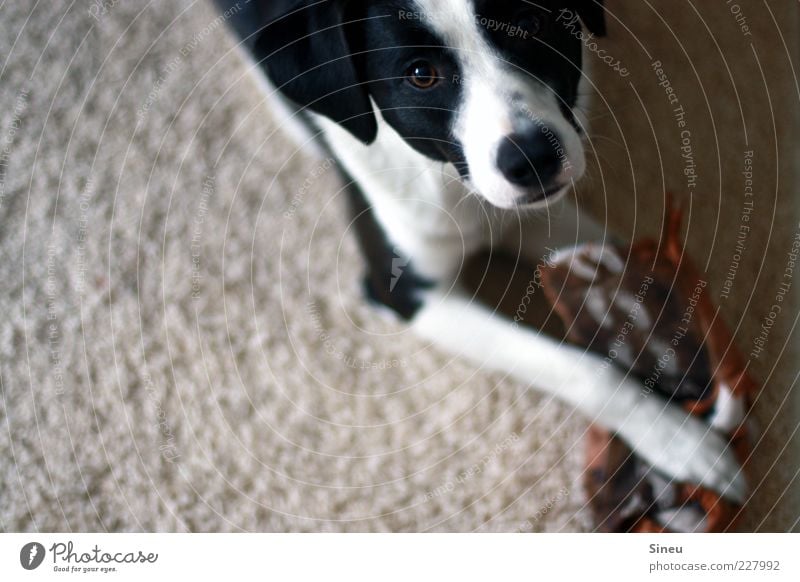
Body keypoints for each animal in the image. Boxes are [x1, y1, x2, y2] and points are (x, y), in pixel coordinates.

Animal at [216, 0, 748, 506]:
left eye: (530, 23)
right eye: (420, 74)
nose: (533, 158)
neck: (455, 184)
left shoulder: (537, 216)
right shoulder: (404, 292)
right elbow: (578, 367)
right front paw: (678, 439)